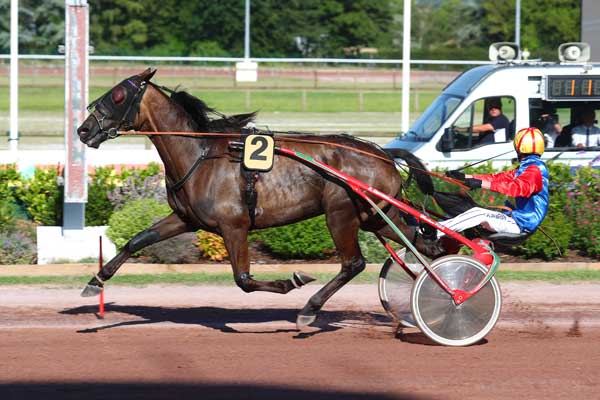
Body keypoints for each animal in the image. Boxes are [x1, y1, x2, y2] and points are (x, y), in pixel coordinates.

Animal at [77, 67, 440, 326]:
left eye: (118, 95)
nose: (83, 130)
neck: (200, 154)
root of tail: (383, 154)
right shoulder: (184, 219)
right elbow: (136, 241)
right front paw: (95, 281)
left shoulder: (233, 225)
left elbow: (244, 279)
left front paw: (293, 280)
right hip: (376, 216)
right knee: (422, 244)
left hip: (341, 213)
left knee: (353, 263)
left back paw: (310, 309)